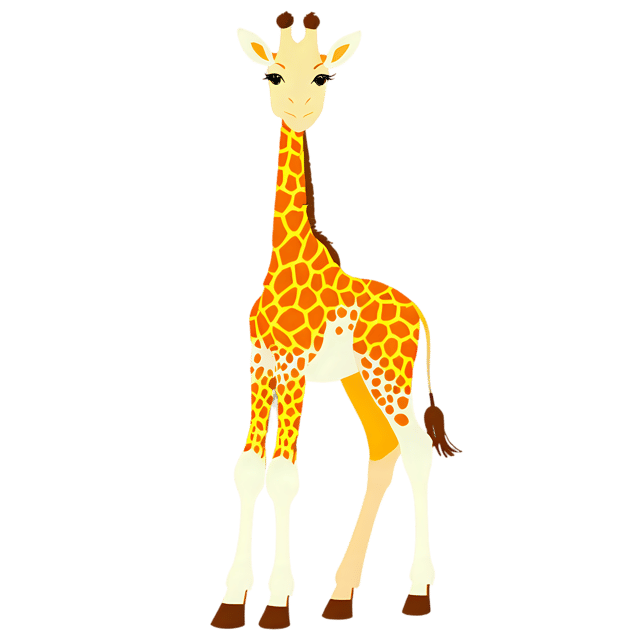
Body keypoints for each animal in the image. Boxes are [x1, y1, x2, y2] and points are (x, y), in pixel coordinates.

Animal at [211, 11, 462, 631]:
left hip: (386, 375)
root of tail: (418, 312)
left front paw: (277, 602)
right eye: (272, 75)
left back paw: (417, 590)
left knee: (417, 448)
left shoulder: (295, 368)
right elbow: (247, 469)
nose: (299, 108)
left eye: (323, 76)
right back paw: (341, 594)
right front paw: (232, 599)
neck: (285, 259)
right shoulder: (260, 365)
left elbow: (283, 475)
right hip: (357, 380)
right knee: (384, 451)